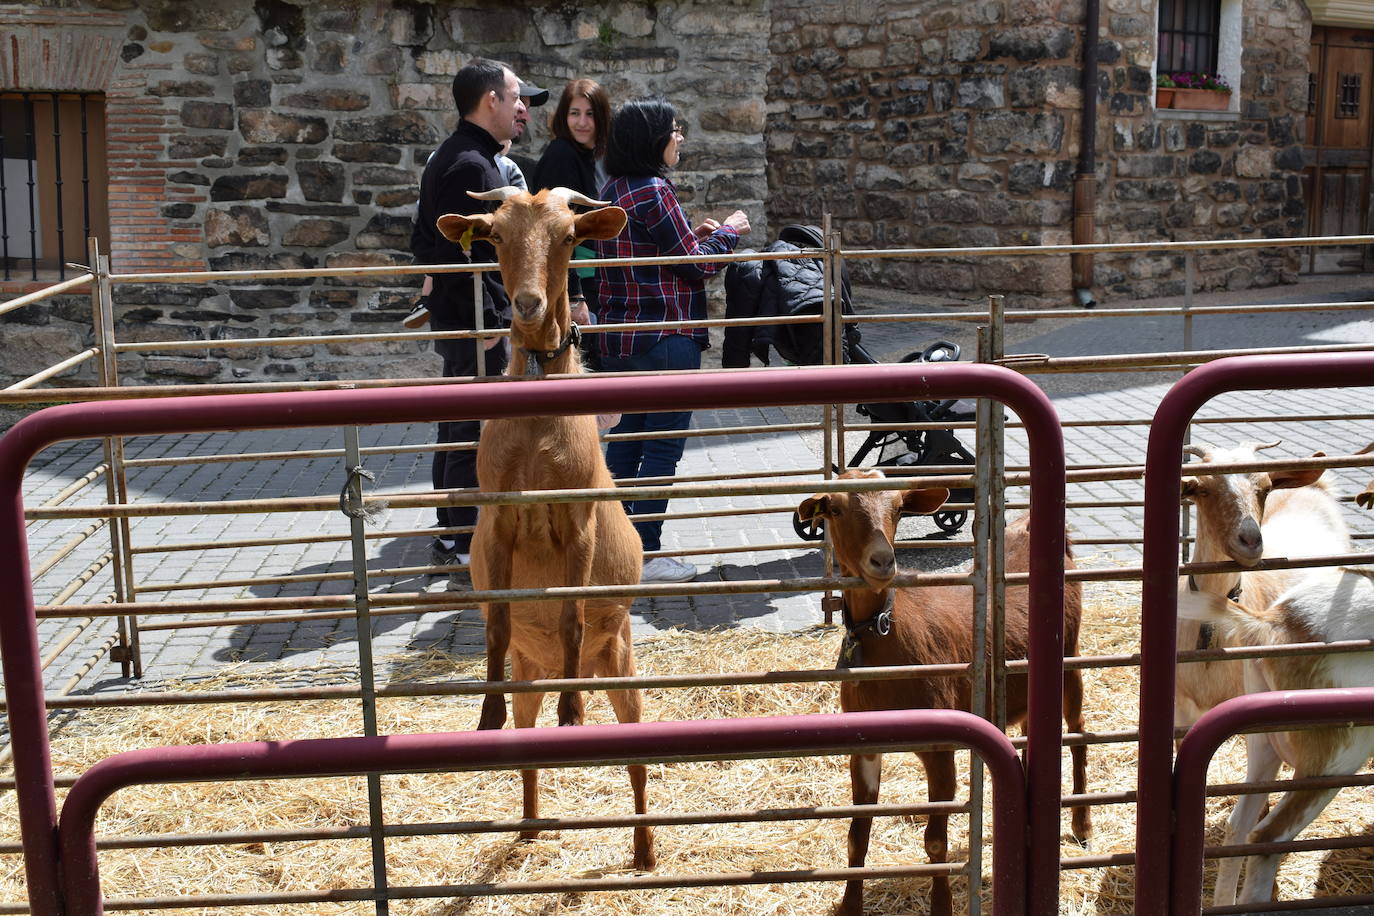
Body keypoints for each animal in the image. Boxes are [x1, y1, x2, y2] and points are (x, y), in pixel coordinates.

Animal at [439, 184, 654, 867]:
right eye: (495, 237)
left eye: (567, 237)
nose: (530, 304)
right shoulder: (500, 519)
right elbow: (499, 621)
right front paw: (485, 715)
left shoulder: (577, 517)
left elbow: (571, 611)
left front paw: (574, 711)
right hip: (530, 672)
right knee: (529, 747)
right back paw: (532, 826)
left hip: (621, 661)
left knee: (638, 759)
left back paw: (646, 852)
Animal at [802, 472, 1088, 916]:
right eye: (834, 508)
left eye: (899, 508)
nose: (883, 561)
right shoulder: (863, 746)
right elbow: (856, 836)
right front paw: (850, 905)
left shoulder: (941, 745)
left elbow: (936, 843)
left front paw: (941, 905)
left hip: (1070, 660)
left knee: (1078, 731)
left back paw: (1081, 824)